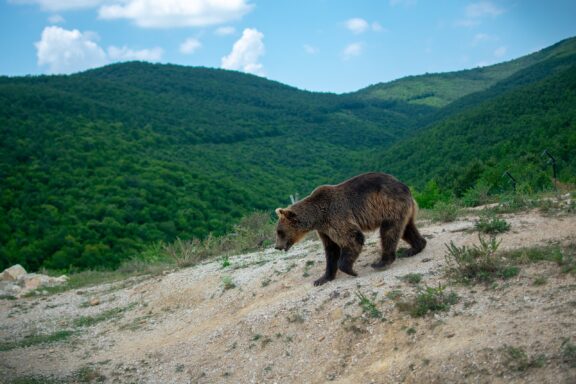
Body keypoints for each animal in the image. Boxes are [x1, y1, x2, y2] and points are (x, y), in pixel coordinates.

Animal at [274, 172, 428, 284]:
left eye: (280, 232)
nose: (277, 246)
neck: (317, 216)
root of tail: (405, 187)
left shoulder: (335, 216)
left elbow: (353, 237)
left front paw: (351, 270)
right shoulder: (324, 230)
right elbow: (331, 250)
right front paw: (322, 278)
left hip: (389, 205)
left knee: (389, 232)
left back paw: (381, 263)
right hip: (401, 209)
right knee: (406, 229)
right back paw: (414, 248)